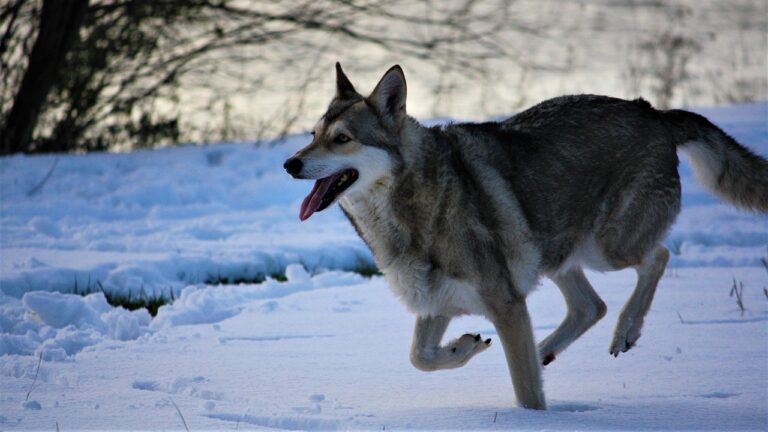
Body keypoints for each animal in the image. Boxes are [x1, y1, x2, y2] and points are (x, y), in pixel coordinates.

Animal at [283, 63, 768, 410]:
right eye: (312, 135)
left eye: (342, 139)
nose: (290, 163)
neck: (411, 205)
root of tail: (652, 110)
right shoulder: (439, 302)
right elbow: (420, 357)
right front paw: (465, 346)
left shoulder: (506, 303)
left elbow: (526, 394)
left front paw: (532, 419)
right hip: (552, 253)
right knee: (591, 305)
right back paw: (546, 350)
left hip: (604, 248)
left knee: (658, 257)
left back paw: (624, 332)